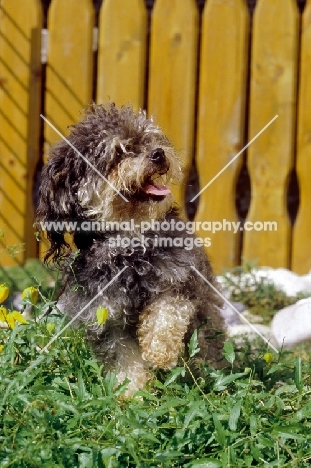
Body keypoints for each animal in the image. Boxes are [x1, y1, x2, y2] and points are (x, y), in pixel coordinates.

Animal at [37, 102, 227, 394]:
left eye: (149, 139)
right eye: (118, 152)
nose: (158, 153)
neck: (130, 245)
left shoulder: (182, 278)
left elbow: (166, 314)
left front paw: (160, 353)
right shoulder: (104, 319)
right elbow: (124, 361)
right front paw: (132, 395)